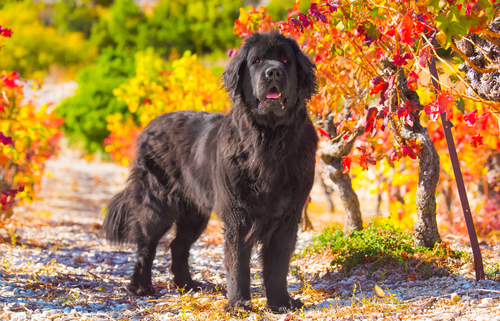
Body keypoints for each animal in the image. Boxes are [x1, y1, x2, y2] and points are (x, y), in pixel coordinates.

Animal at [103, 31, 318, 312]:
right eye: (257, 61)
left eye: (285, 60)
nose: (273, 72)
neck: (268, 140)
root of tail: (151, 125)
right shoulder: (238, 215)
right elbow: (238, 263)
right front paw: (238, 304)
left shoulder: (287, 215)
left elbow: (278, 264)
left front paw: (281, 303)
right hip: (156, 202)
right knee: (146, 244)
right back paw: (141, 287)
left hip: (195, 211)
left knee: (178, 245)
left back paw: (187, 285)